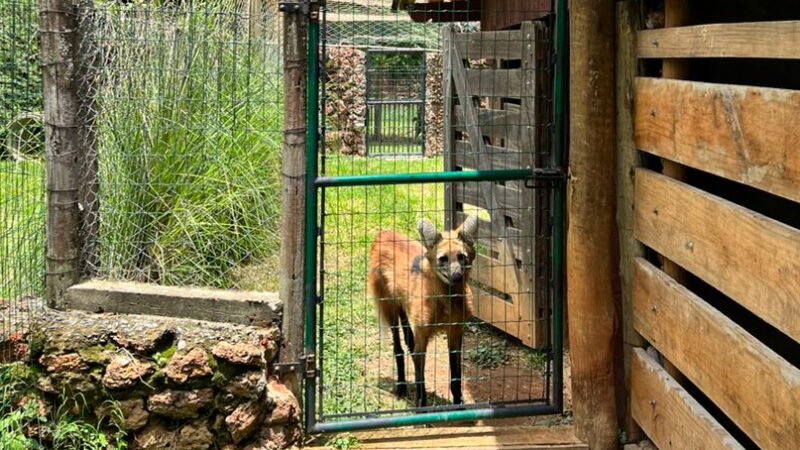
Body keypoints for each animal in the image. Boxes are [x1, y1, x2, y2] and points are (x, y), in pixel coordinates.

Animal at [368, 215, 476, 408]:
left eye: (461, 257)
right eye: (443, 259)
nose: (457, 276)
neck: (446, 301)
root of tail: (383, 233)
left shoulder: (455, 331)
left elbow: (456, 377)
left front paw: (458, 403)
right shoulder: (423, 333)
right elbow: (420, 377)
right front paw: (422, 406)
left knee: (410, 343)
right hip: (391, 309)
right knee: (399, 348)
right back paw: (401, 386)